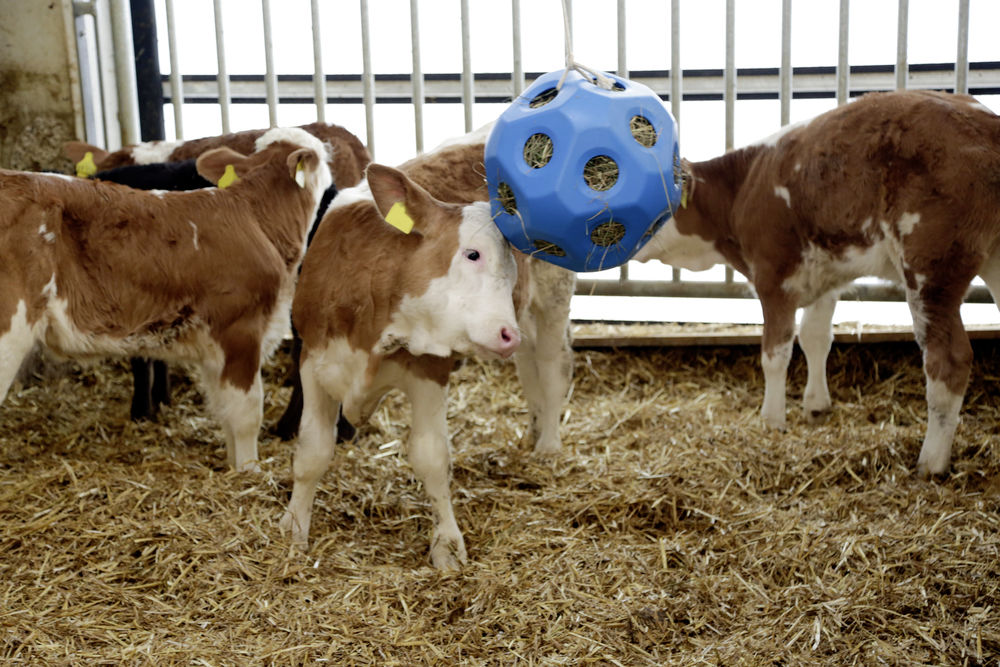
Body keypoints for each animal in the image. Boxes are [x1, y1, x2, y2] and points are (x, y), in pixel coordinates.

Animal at [0, 128, 336, 472]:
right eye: (320, 155)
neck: (256, 219)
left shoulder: (213, 349)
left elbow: (225, 412)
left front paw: (233, 468)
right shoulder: (240, 331)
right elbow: (247, 413)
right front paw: (249, 471)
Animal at [282, 130, 580, 568]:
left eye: (511, 269)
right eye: (472, 254)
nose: (505, 334)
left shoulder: (429, 370)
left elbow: (431, 457)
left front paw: (448, 545)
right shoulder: (314, 361)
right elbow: (311, 453)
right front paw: (293, 528)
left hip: (552, 294)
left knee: (552, 364)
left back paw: (548, 447)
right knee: (529, 368)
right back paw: (534, 430)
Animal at [636, 91, 1000, 478]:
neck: (741, 190)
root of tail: (985, 122)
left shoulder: (773, 275)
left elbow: (775, 353)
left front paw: (772, 422)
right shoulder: (824, 275)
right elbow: (815, 337)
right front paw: (816, 406)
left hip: (932, 266)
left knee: (948, 360)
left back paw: (931, 463)